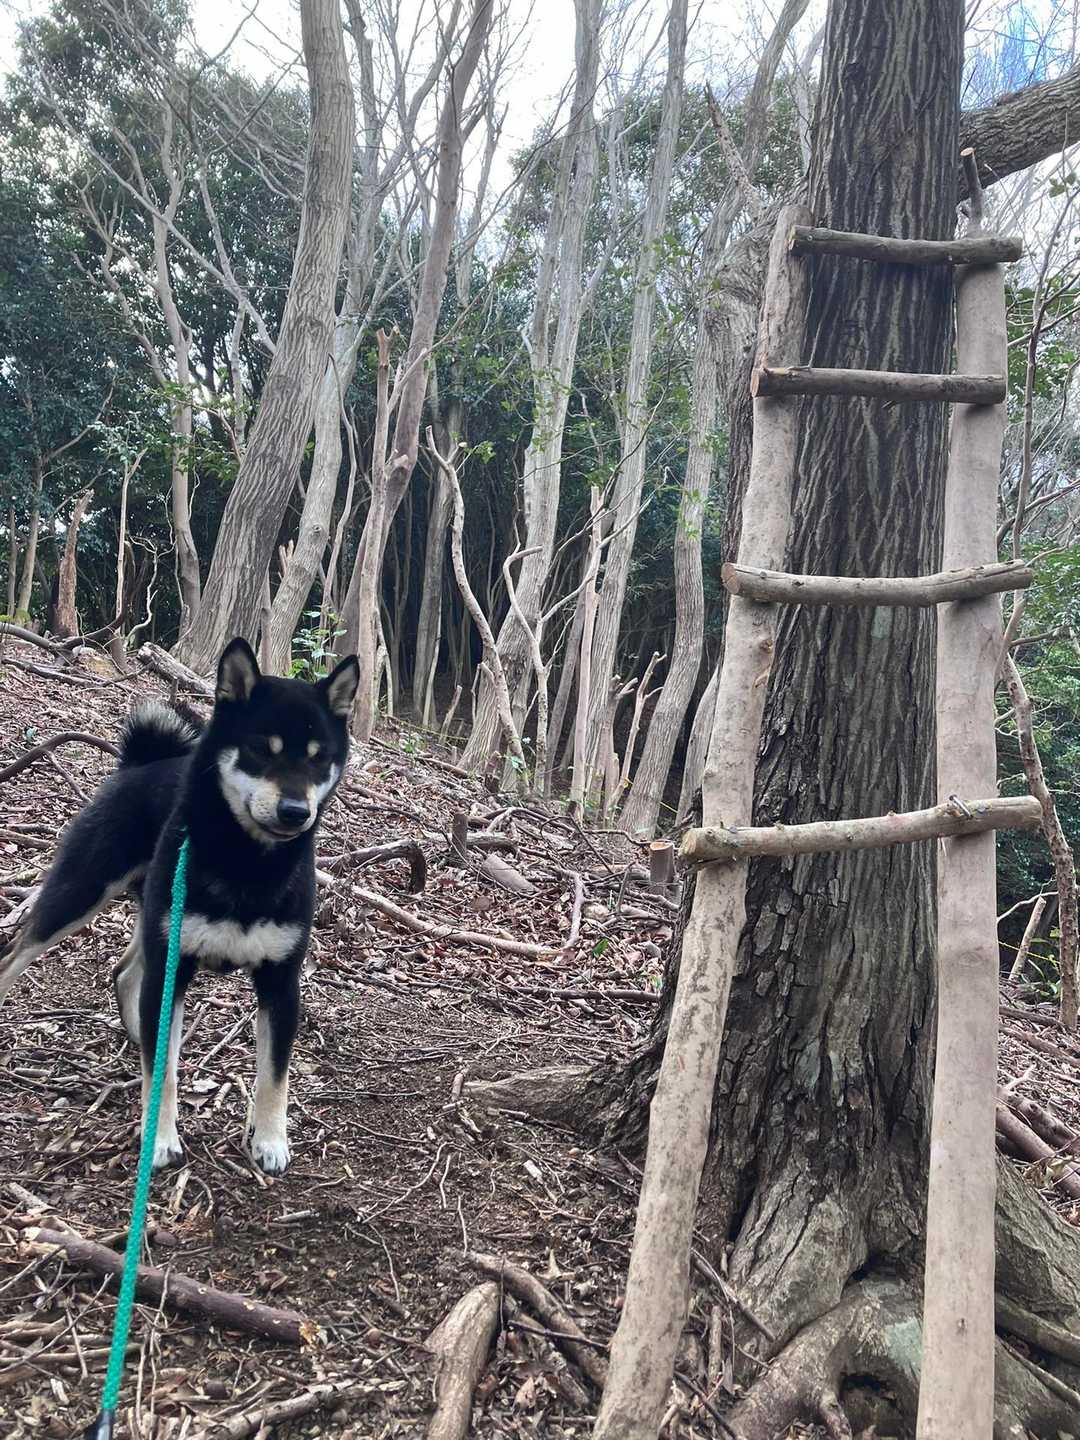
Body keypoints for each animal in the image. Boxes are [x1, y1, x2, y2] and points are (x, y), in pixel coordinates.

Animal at [0, 637, 359, 1175]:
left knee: (127, 974)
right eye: (261, 749)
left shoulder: (280, 981)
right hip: (80, 896)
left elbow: (274, 1075)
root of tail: (138, 764)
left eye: (320, 760)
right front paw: (160, 1136)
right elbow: (164, 1071)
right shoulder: (177, 961)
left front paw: (270, 1140)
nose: (296, 812)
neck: (246, 863)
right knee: (15, 955)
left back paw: (137, 1035)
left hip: (153, 922)